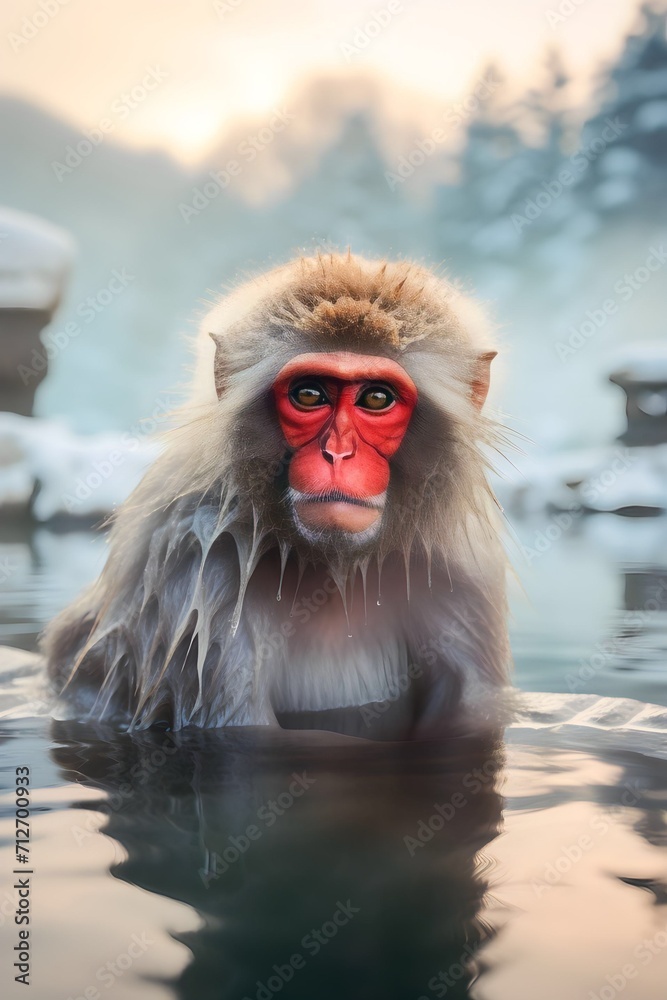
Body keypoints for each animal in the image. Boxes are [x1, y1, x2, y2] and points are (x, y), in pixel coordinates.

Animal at [43, 252, 511, 735]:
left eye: (377, 399)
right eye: (309, 395)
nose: (338, 453)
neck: (332, 568)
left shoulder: (460, 574)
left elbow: (473, 710)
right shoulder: (198, 569)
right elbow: (236, 726)